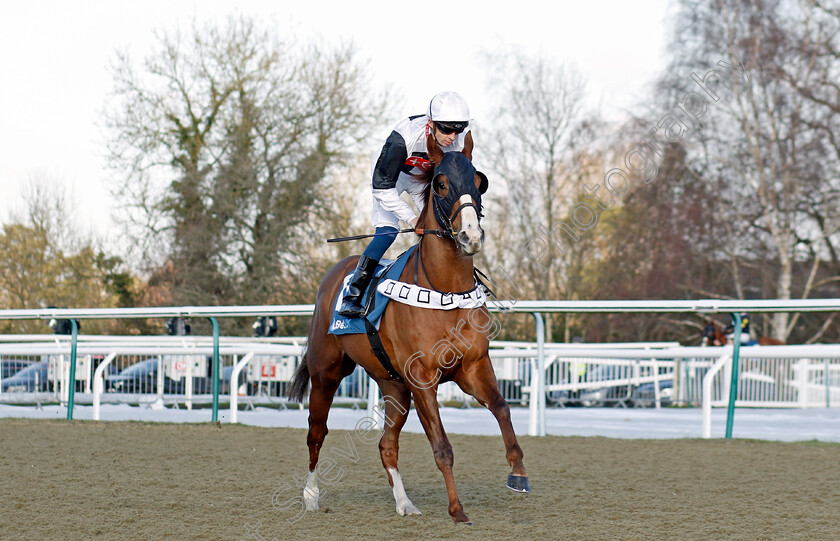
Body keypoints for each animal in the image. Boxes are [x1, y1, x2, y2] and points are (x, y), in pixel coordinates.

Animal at [286, 132, 528, 524]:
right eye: (441, 184)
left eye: (479, 182)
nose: (471, 236)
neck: (445, 291)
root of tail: (333, 276)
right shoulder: (423, 378)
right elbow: (442, 446)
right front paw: (457, 510)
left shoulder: (472, 367)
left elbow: (502, 407)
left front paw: (518, 472)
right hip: (327, 373)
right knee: (316, 433)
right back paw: (310, 496)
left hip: (393, 386)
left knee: (386, 444)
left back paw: (404, 502)